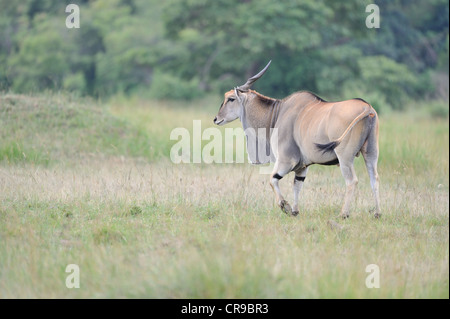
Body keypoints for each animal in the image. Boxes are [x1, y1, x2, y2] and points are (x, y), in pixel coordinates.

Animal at [214, 61, 380, 219]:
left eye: (230, 99)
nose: (216, 119)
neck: (277, 112)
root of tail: (367, 108)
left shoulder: (286, 161)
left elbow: (272, 180)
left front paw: (285, 206)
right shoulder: (302, 167)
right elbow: (297, 185)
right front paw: (295, 211)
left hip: (344, 157)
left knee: (352, 181)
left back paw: (344, 214)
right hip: (371, 154)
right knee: (374, 179)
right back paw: (377, 214)